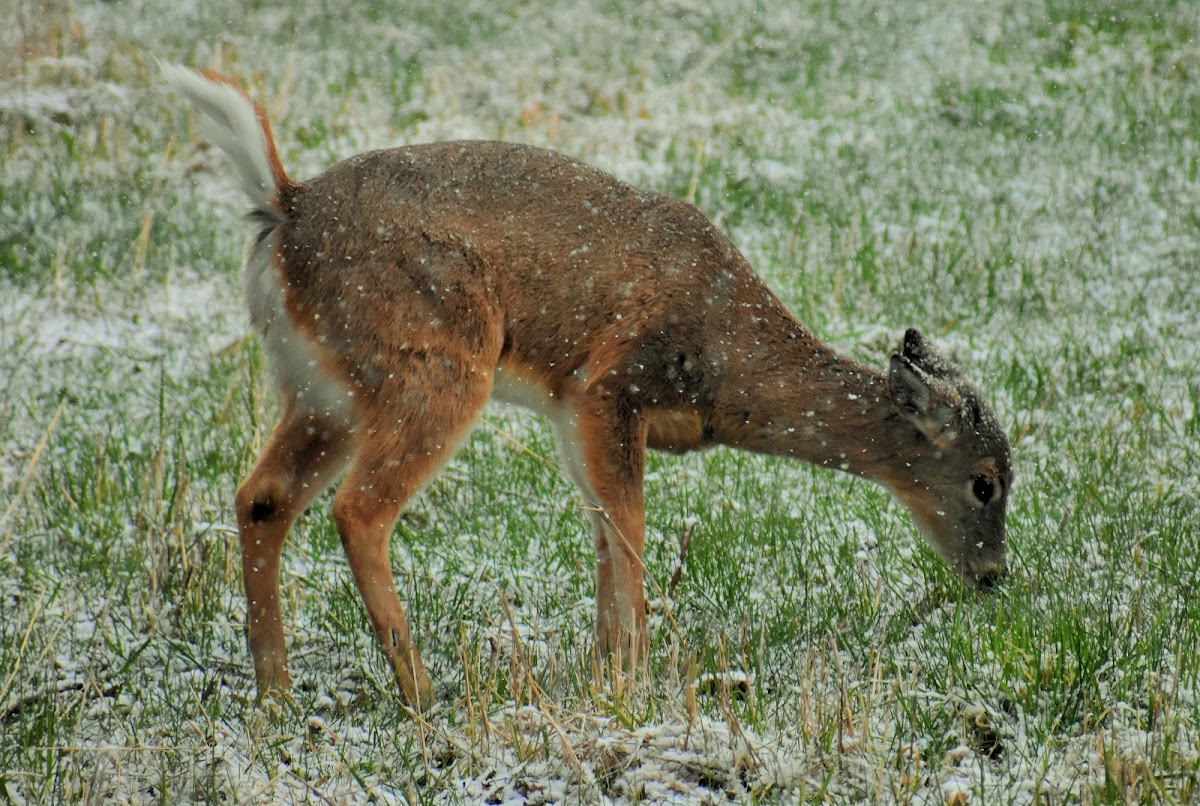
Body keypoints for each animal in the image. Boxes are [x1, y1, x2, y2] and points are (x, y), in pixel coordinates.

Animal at [164, 65, 1012, 710]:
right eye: (984, 483)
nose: (994, 577)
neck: (729, 364)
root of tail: (284, 205)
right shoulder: (611, 386)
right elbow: (630, 531)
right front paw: (635, 683)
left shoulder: (573, 413)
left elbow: (604, 531)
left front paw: (607, 673)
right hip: (432, 364)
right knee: (359, 510)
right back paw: (421, 693)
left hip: (323, 388)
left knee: (262, 497)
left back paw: (275, 692)